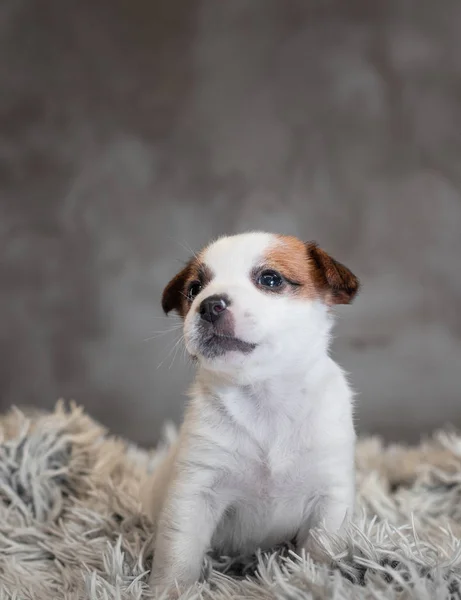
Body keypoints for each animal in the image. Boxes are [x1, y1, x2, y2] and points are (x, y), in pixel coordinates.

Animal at [144, 232, 360, 592]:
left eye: (270, 279)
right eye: (194, 289)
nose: (209, 304)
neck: (264, 396)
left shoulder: (330, 499)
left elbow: (320, 552)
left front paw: (313, 581)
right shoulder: (195, 494)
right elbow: (178, 557)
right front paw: (169, 591)